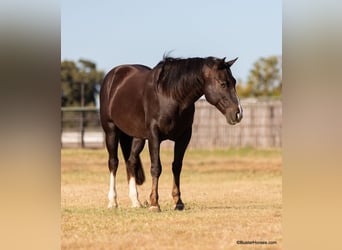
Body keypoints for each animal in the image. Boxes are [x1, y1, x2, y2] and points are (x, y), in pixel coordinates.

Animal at [100, 56, 242, 211]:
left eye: (234, 82)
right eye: (223, 84)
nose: (238, 113)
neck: (170, 96)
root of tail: (113, 75)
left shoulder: (184, 137)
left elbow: (177, 166)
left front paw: (178, 202)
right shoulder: (154, 136)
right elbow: (156, 167)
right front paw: (154, 203)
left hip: (138, 137)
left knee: (131, 162)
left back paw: (136, 201)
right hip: (111, 130)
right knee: (113, 162)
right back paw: (113, 202)